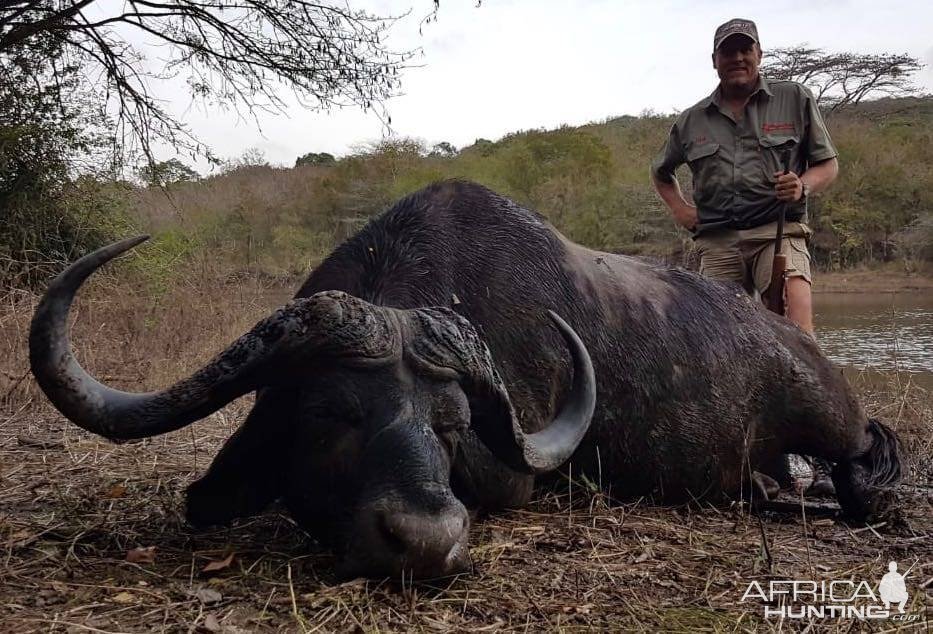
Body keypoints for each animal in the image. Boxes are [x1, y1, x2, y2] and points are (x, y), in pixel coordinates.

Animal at [32, 178, 900, 576]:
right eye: (332, 415)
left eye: (449, 427)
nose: (424, 541)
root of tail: (788, 341)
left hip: (831, 418)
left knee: (864, 453)